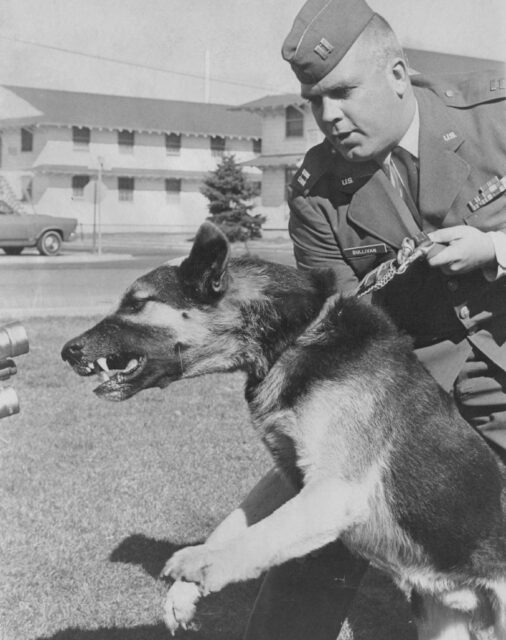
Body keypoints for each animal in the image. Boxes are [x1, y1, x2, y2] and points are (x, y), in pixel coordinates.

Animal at [62, 222, 506, 636]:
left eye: (137, 303)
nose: (67, 351)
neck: (296, 335)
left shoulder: (334, 493)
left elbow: (260, 536)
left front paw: (202, 562)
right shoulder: (286, 477)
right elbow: (230, 527)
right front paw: (181, 594)